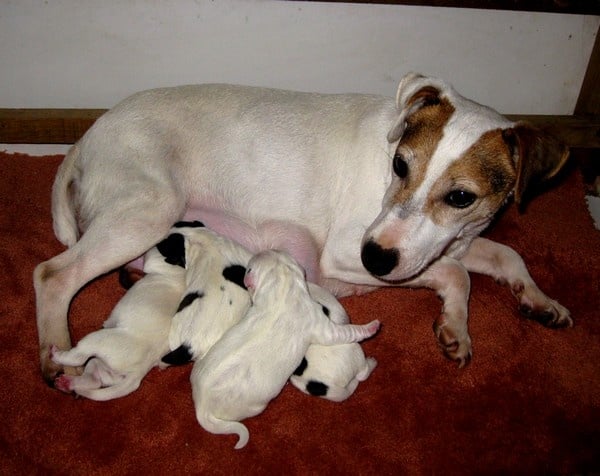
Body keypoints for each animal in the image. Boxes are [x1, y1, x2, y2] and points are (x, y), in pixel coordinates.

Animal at [190, 251, 382, 448]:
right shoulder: (321, 324)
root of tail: (201, 407)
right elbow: (346, 332)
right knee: (362, 371)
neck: (282, 291)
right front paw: (371, 327)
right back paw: (370, 363)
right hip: (255, 406)